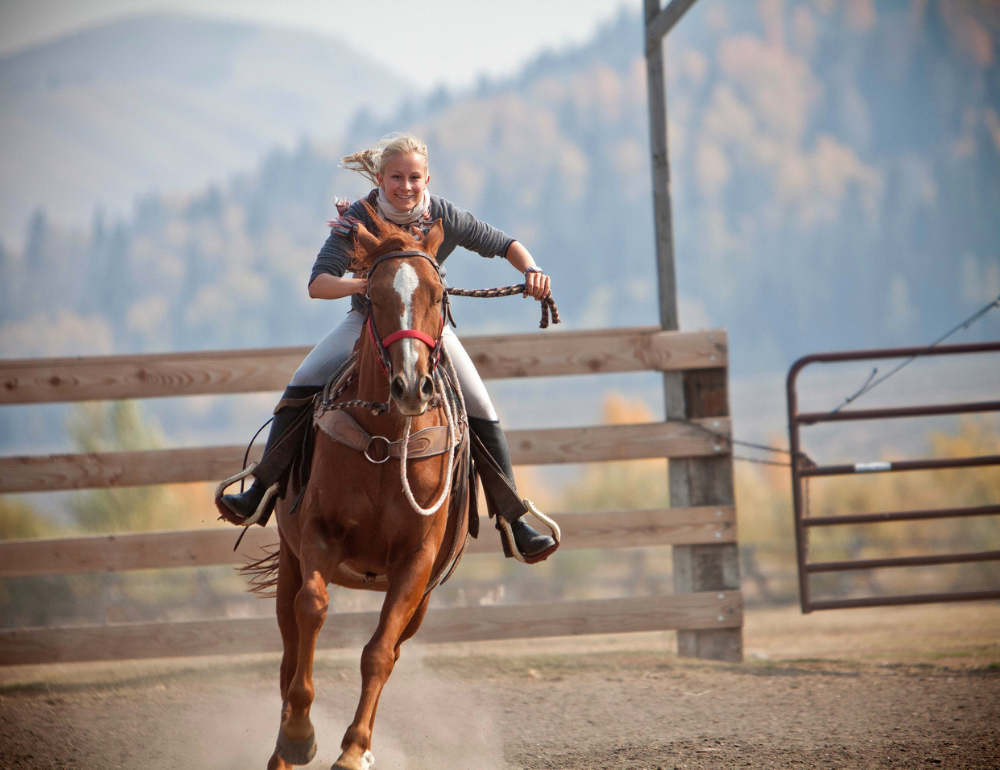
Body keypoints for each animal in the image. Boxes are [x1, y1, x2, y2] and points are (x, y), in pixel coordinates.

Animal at [262, 213, 472, 768]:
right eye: (372, 296)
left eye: (438, 294)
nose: (411, 386)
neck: (385, 441)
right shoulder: (317, 534)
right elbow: (313, 610)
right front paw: (299, 733)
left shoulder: (416, 563)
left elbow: (378, 652)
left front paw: (354, 749)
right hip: (289, 562)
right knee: (289, 648)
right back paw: (282, 747)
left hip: (421, 599)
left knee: (392, 649)